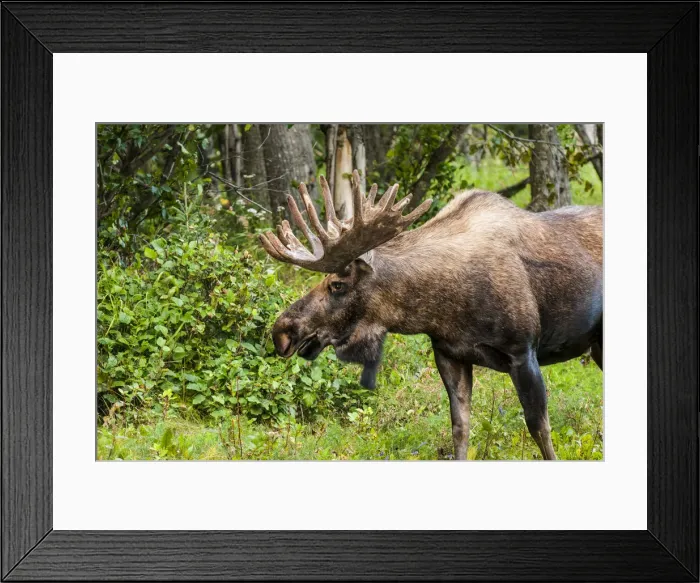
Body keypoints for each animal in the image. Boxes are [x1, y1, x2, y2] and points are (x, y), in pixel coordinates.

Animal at [259, 170, 603, 460]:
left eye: (337, 284)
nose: (282, 330)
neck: (439, 308)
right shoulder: (449, 354)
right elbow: (460, 429)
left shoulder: (523, 351)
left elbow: (540, 429)